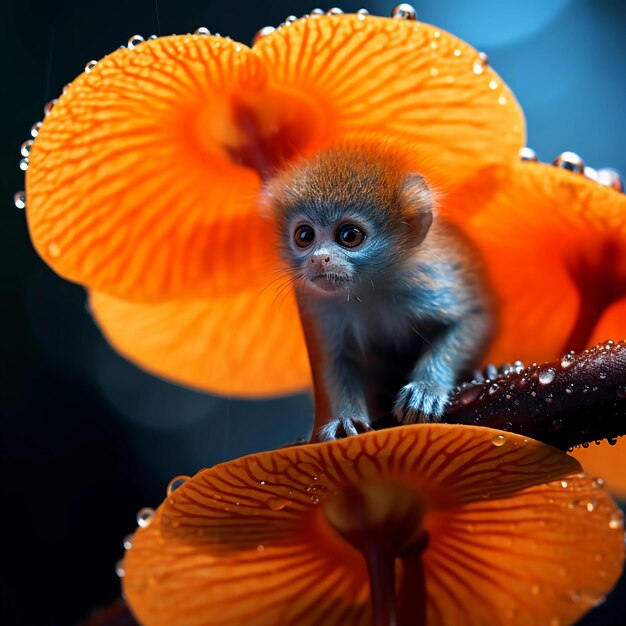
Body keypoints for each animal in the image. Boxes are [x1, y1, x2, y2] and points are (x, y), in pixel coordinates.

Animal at [260, 144, 490, 442]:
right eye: (304, 236)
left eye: (349, 236)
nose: (318, 259)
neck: (368, 290)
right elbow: (337, 359)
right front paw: (345, 418)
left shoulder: (429, 283)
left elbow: (471, 319)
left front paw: (426, 388)